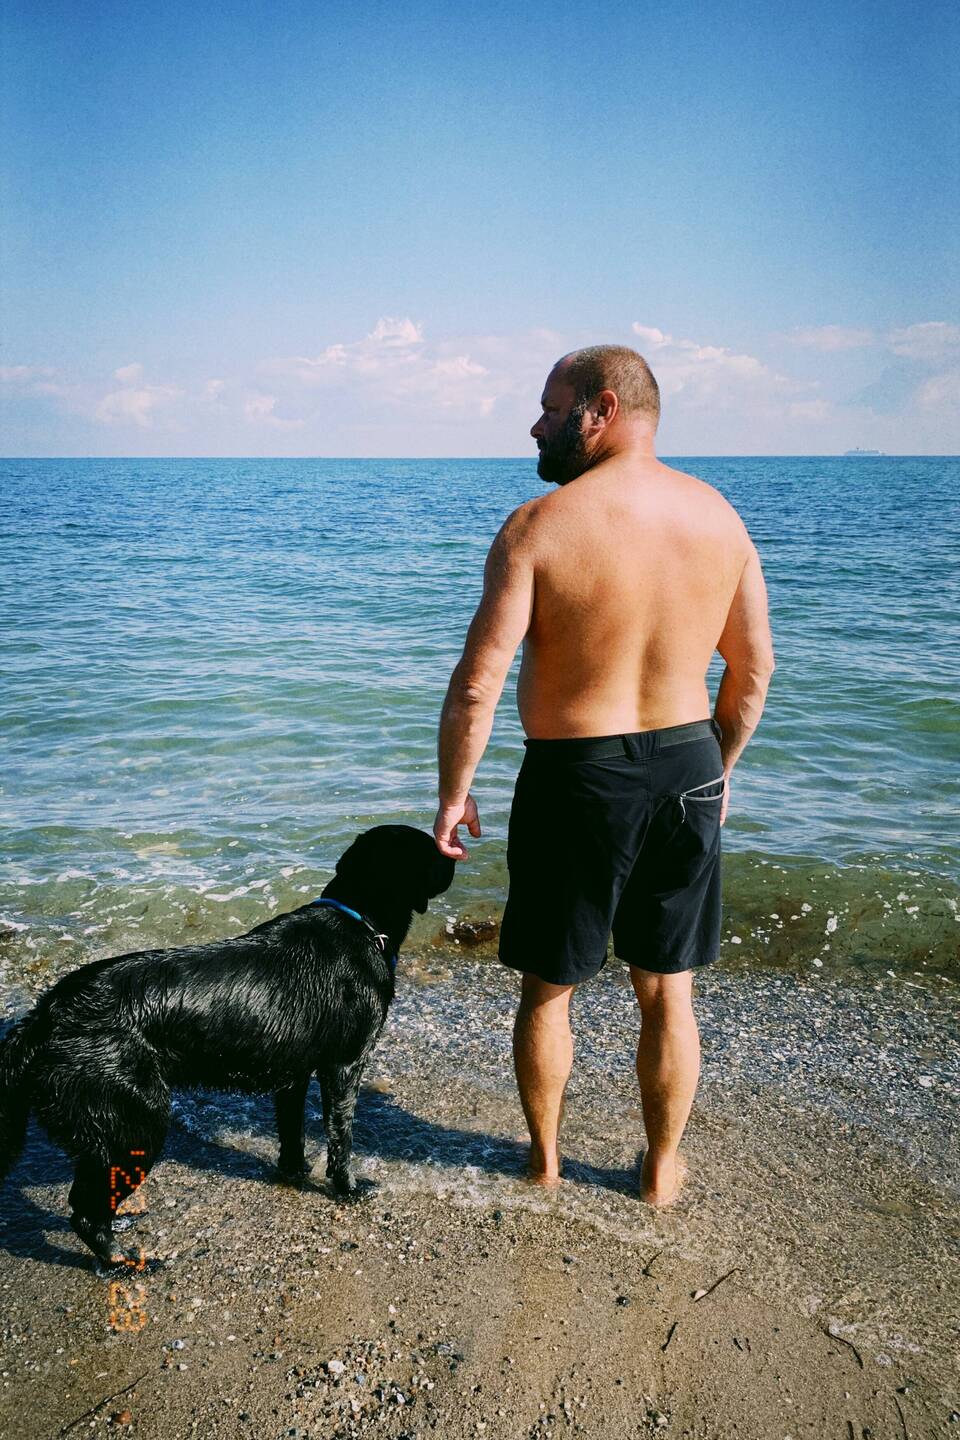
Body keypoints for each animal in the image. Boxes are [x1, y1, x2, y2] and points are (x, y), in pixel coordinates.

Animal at [0, 824, 455, 1268]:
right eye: (432, 849)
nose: (455, 855)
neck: (359, 921)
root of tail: (44, 1018)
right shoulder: (343, 1066)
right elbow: (340, 1137)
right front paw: (349, 1188)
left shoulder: (293, 1076)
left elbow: (292, 1131)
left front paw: (294, 1171)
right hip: (136, 1123)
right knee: (84, 1210)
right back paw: (123, 1259)